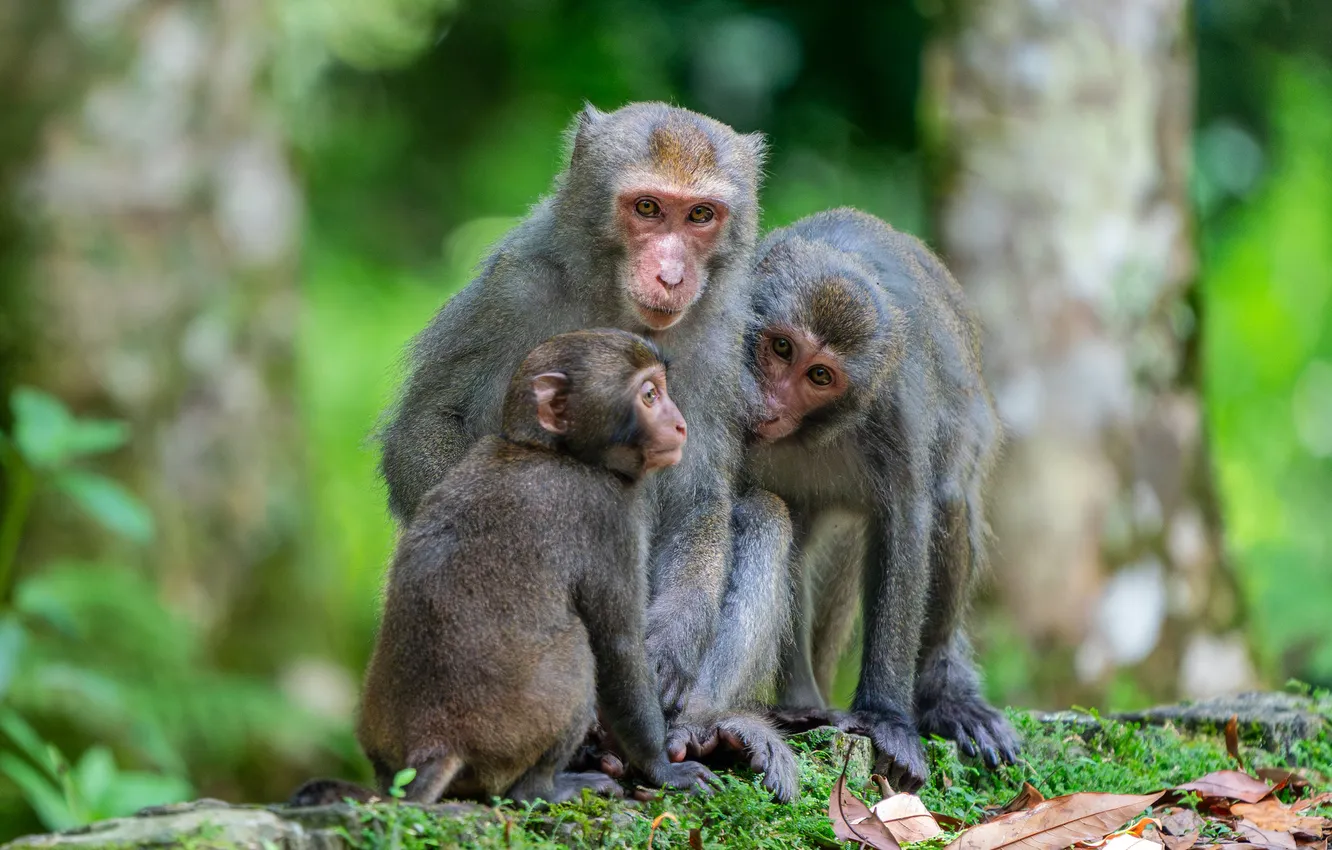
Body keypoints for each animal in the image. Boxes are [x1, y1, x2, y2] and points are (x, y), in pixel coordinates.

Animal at [342, 329, 717, 805]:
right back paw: (547, 788)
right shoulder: (610, 517)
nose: (681, 424)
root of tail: (437, 742)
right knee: (578, 646)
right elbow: (617, 648)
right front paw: (663, 768)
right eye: (650, 395)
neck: (547, 450)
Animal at [376, 102, 796, 790]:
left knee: (762, 513)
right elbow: (427, 428)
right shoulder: (513, 288)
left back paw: (702, 730)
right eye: (647, 208)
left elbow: (702, 496)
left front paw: (672, 642)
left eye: (700, 215)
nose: (672, 275)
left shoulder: (724, 337)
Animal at [741, 208, 1020, 792]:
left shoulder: (896, 406)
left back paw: (944, 698)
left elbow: (907, 523)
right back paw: (801, 702)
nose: (773, 404)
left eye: (819, 375)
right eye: (782, 348)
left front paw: (886, 718)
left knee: (947, 500)